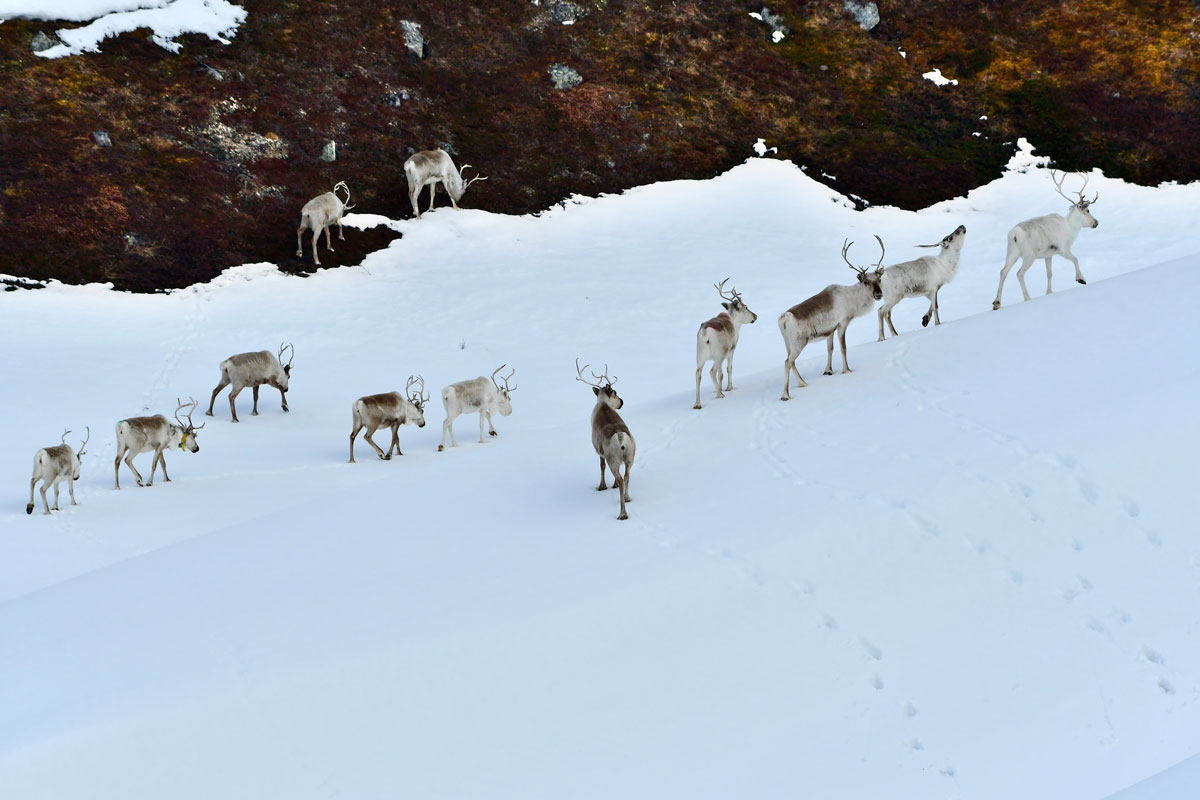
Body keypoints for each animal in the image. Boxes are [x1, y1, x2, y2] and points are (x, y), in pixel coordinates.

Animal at [576, 360, 635, 520]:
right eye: (615, 393)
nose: (622, 401)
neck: (603, 404)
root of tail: (621, 438)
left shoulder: (598, 450)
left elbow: (601, 467)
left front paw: (601, 486)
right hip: (630, 457)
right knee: (626, 476)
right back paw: (627, 498)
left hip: (612, 458)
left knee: (620, 478)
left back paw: (622, 513)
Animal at [694, 278, 758, 410]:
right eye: (746, 307)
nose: (755, 316)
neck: (735, 323)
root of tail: (705, 333)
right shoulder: (732, 348)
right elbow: (729, 369)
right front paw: (729, 388)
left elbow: (721, 373)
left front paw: (720, 387)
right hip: (720, 354)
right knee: (711, 371)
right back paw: (720, 394)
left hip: (700, 355)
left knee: (698, 373)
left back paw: (697, 403)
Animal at [779, 237, 885, 401]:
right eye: (866, 282)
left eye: (879, 279)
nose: (879, 294)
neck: (853, 299)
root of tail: (784, 319)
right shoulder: (843, 323)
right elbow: (843, 347)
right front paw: (846, 369)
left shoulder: (830, 330)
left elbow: (830, 349)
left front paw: (828, 371)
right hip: (799, 341)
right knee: (787, 362)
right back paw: (786, 395)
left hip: (788, 343)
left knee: (791, 361)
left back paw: (803, 383)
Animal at [992, 170, 1099, 310]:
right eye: (1088, 210)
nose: (1096, 222)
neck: (1071, 228)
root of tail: (1014, 233)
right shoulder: (1062, 249)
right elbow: (1075, 259)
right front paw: (1081, 279)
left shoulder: (1048, 255)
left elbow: (1049, 273)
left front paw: (1049, 292)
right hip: (1029, 255)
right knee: (1019, 273)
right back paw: (1027, 298)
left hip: (1012, 252)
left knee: (1003, 271)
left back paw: (997, 303)